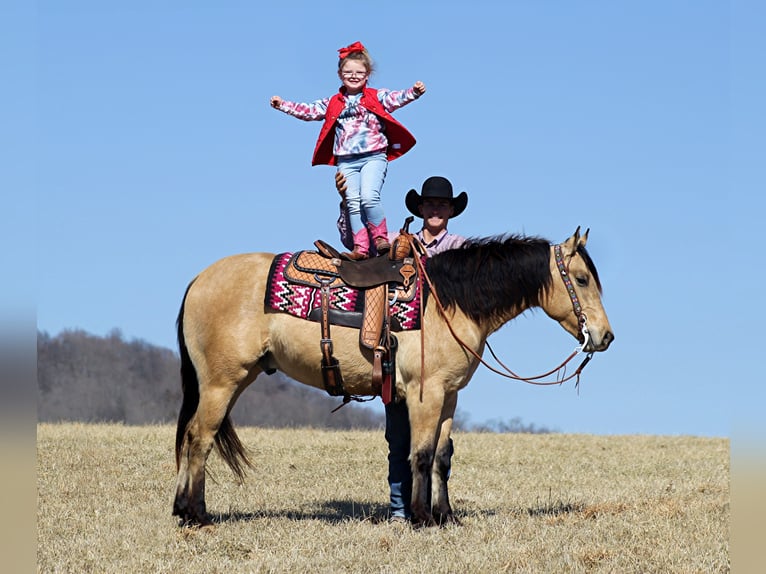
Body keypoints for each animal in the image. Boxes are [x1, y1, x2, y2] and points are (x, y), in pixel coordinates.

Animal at [171, 227, 616, 528]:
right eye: (581, 279)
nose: (605, 336)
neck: (447, 303)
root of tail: (198, 281)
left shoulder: (449, 395)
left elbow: (442, 456)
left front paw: (445, 516)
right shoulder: (425, 392)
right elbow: (420, 454)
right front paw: (421, 517)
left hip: (234, 381)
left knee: (192, 436)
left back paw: (182, 508)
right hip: (220, 383)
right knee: (200, 439)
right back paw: (196, 514)